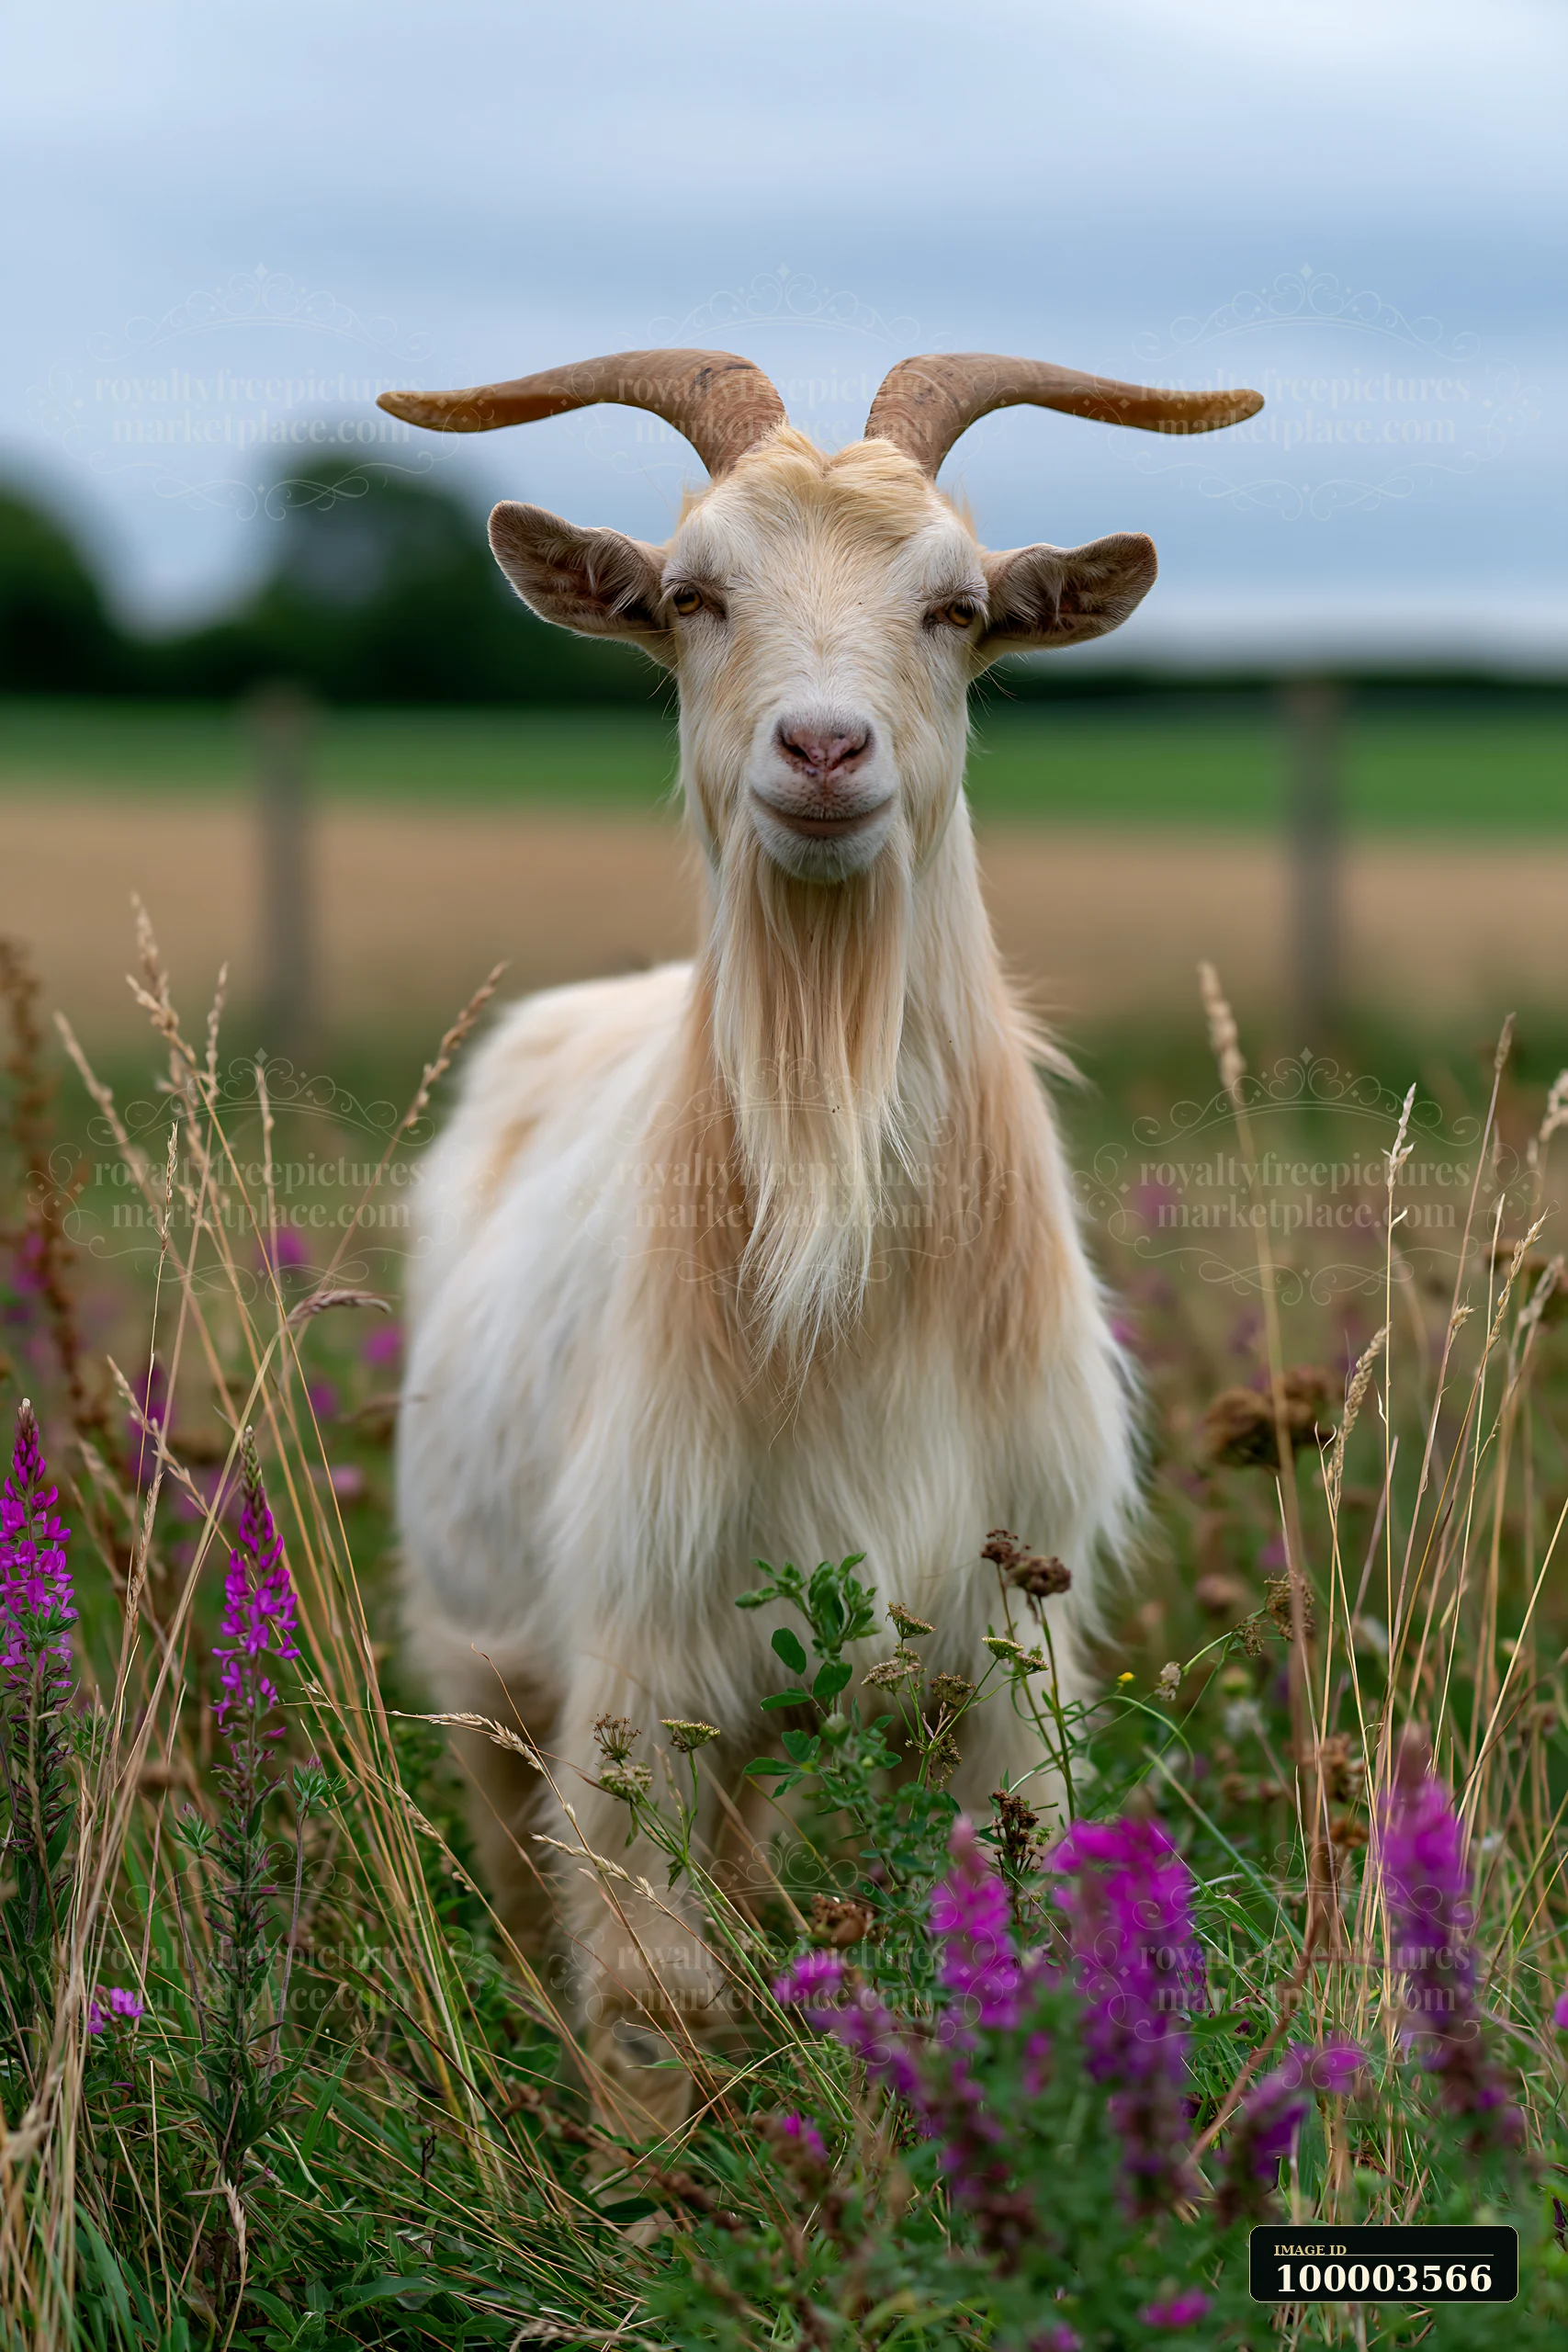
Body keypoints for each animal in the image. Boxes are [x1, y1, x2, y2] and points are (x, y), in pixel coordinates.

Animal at [381, 349, 1262, 2126]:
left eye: (957, 606)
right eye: (692, 594)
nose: (823, 747)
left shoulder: (999, 1648)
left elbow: (1001, 1942)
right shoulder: (639, 1650)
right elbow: (652, 1992)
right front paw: (640, 2197)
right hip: (482, 1653)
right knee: (522, 1867)